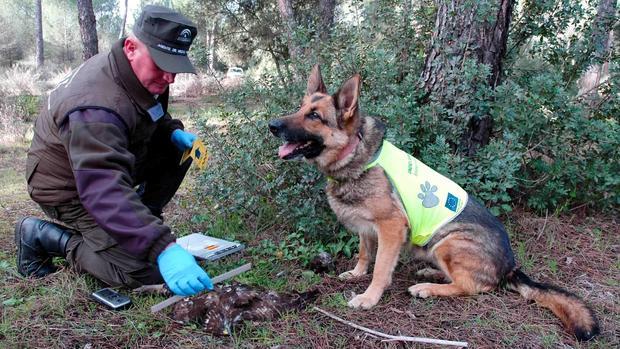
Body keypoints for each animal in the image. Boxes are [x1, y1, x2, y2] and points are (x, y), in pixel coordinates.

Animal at [268, 65, 600, 340]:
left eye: (314, 116)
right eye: (300, 108)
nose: (271, 125)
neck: (355, 153)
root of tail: (510, 267)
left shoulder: (390, 228)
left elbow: (381, 269)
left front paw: (369, 296)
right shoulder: (367, 227)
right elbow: (364, 253)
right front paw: (357, 273)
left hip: (448, 243)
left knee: (473, 287)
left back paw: (427, 288)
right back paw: (430, 274)